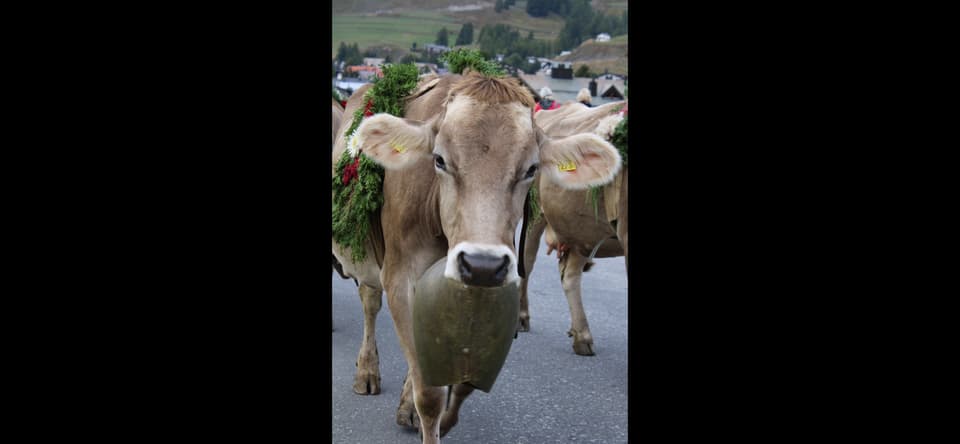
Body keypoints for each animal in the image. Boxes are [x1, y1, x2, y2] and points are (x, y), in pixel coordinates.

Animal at [516, 101, 632, 358]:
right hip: (534, 215)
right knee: (526, 262)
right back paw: (521, 317)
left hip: (581, 229)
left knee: (569, 274)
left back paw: (581, 335)